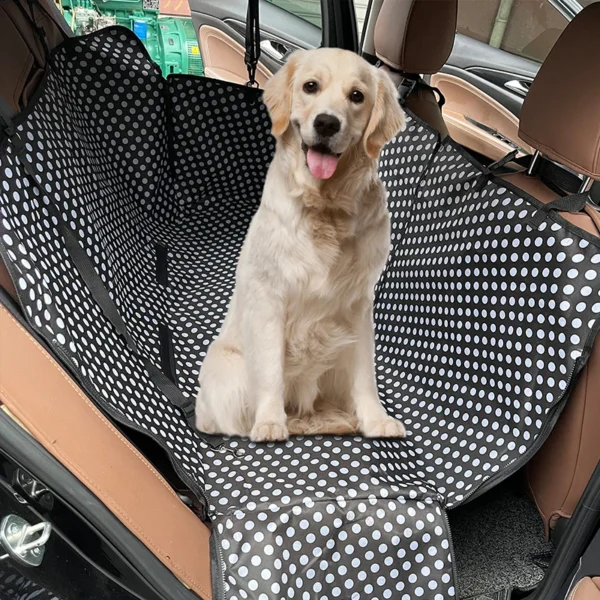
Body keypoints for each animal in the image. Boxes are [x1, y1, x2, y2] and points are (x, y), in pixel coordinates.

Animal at [195, 48, 406, 440]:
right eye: (311, 86)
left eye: (357, 96)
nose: (326, 123)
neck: (325, 207)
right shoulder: (269, 298)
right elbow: (271, 370)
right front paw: (269, 421)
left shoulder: (358, 304)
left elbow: (365, 375)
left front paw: (376, 419)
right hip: (228, 369)